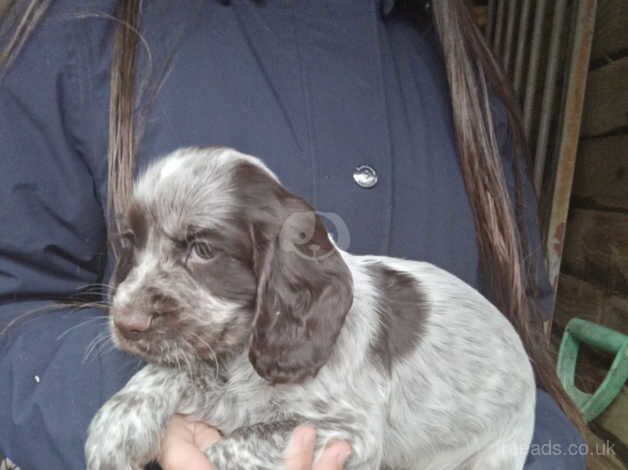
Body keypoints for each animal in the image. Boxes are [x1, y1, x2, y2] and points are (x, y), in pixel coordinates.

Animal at [84, 147, 536, 470]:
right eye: (130, 242)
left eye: (204, 250)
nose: (125, 323)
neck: (243, 357)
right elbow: (172, 373)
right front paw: (113, 431)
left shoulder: (347, 431)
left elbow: (233, 446)